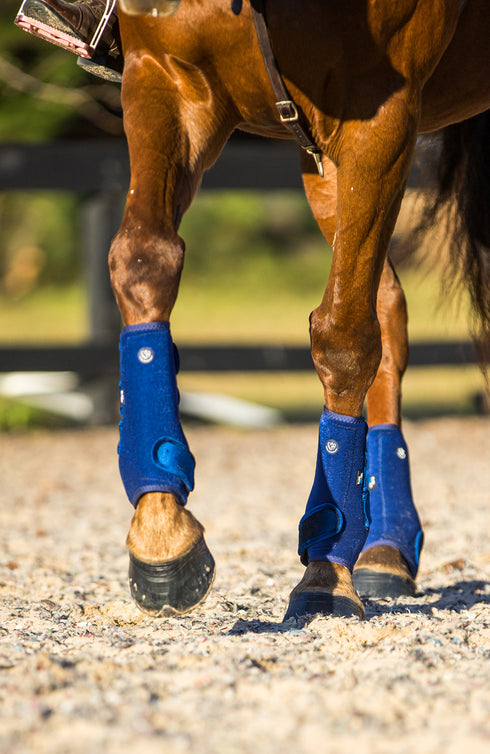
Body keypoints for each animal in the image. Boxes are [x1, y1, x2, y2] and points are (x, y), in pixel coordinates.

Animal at [107, 0, 490, 621]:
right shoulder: (166, 75)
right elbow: (145, 258)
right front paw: (163, 533)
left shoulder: (379, 120)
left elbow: (344, 339)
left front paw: (326, 568)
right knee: (389, 311)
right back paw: (386, 548)